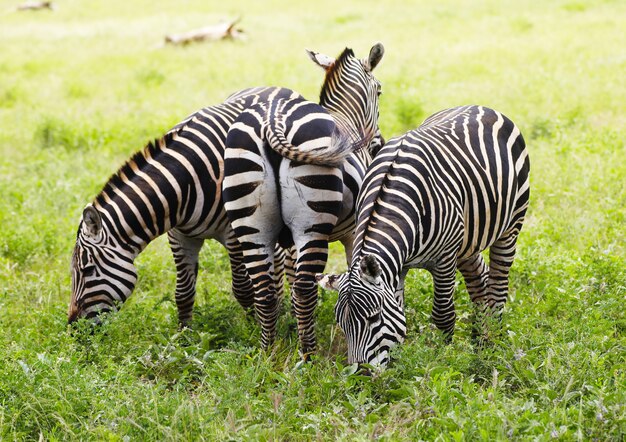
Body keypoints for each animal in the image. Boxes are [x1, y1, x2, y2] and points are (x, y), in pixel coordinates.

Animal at [222, 43, 382, 358]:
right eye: (379, 91)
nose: (378, 143)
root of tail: (272, 120)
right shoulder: (353, 232)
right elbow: (352, 273)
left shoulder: (288, 243)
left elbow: (287, 277)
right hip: (312, 225)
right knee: (305, 288)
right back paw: (309, 356)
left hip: (251, 223)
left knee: (265, 290)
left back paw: (269, 354)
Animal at [316, 105, 528, 368]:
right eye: (341, 324)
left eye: (374, 318)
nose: (361, 373)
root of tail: (481, 107)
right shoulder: (397, 266)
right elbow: (399, 314)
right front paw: (397, 367)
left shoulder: (445, 259)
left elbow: (443, 315)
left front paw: (441, 361)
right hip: (468, 239)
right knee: (481, 279)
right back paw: (479, 342)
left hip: (511, 226)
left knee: (498, 285)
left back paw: (493, 344)